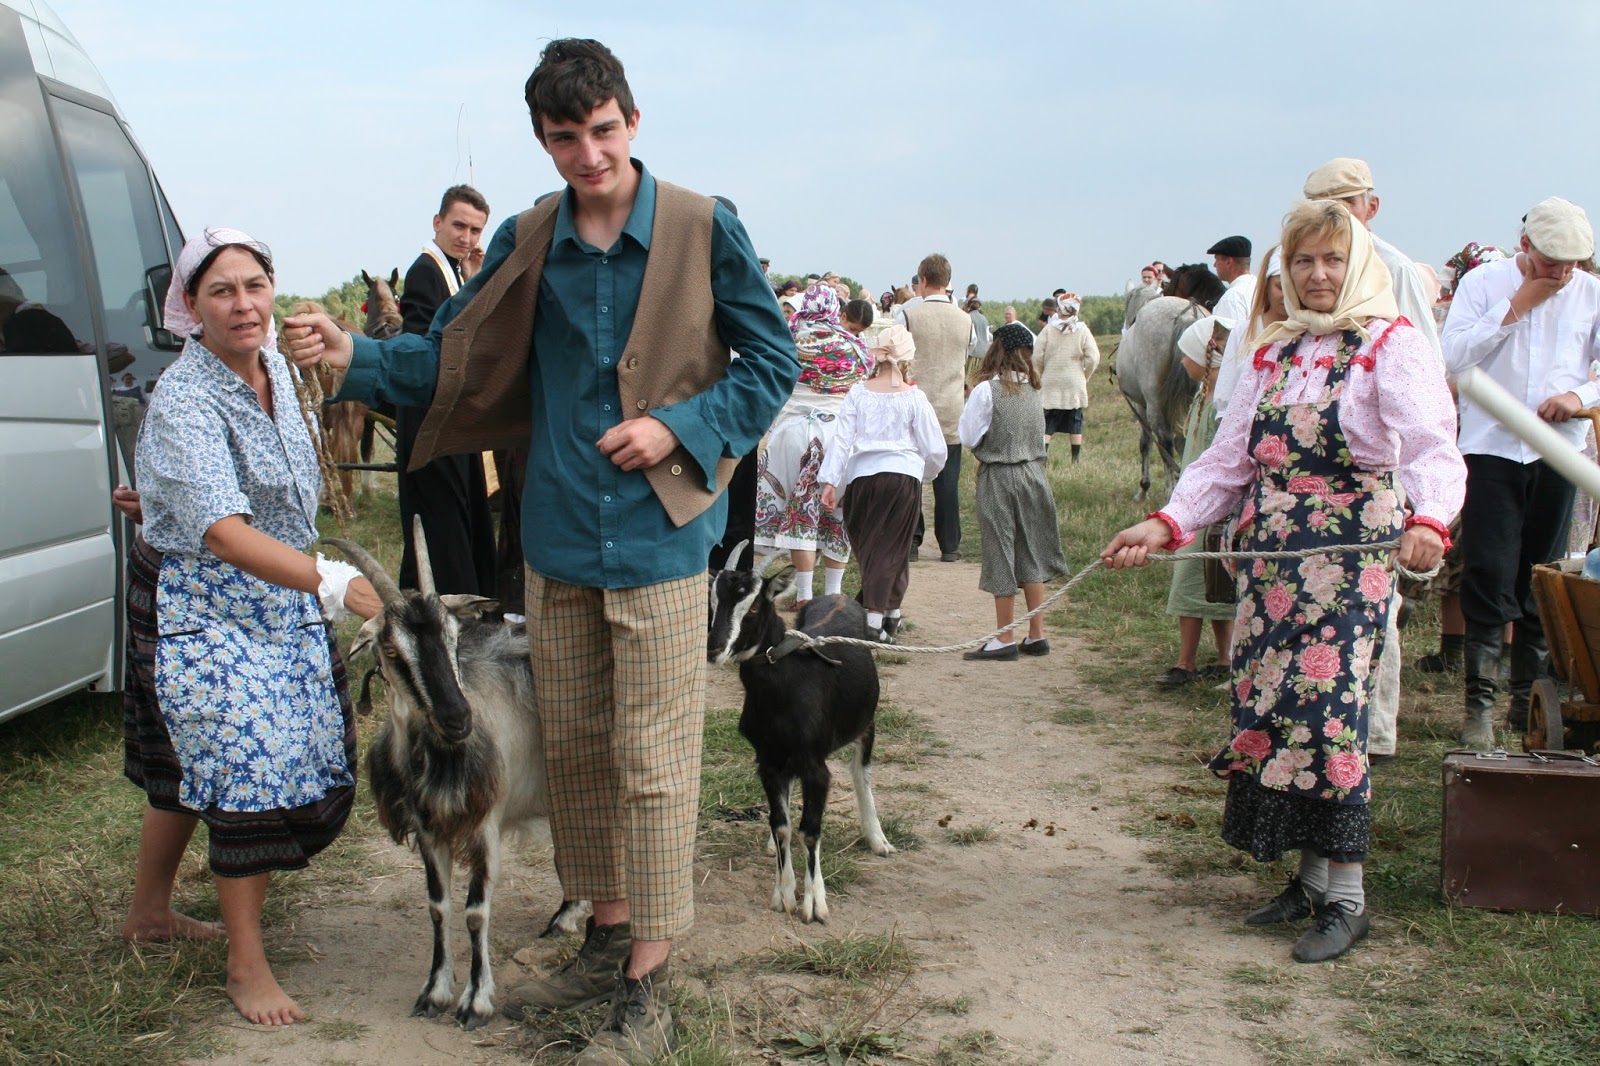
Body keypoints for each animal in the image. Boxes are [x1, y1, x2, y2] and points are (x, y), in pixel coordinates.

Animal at [328, 518, 586, 1031]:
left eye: (454, 637)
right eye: (391, 649)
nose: (457, 719)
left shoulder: (484, 826)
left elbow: (475, 912)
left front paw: (475, 1001)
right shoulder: (430, 830)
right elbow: (437, 906)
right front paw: (435, 991)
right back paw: (567, 915)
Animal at [706, 546, 893, 923]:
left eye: (754, 606)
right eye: (713, 601)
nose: (714, 649)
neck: (785, 684)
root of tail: (840, 597)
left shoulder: (815, 767)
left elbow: (810, 829)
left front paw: (814, 903)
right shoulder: (766, 762)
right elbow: (781, 825)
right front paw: (783, 894)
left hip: (866, 722)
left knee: (861, 772)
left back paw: (876, 837)